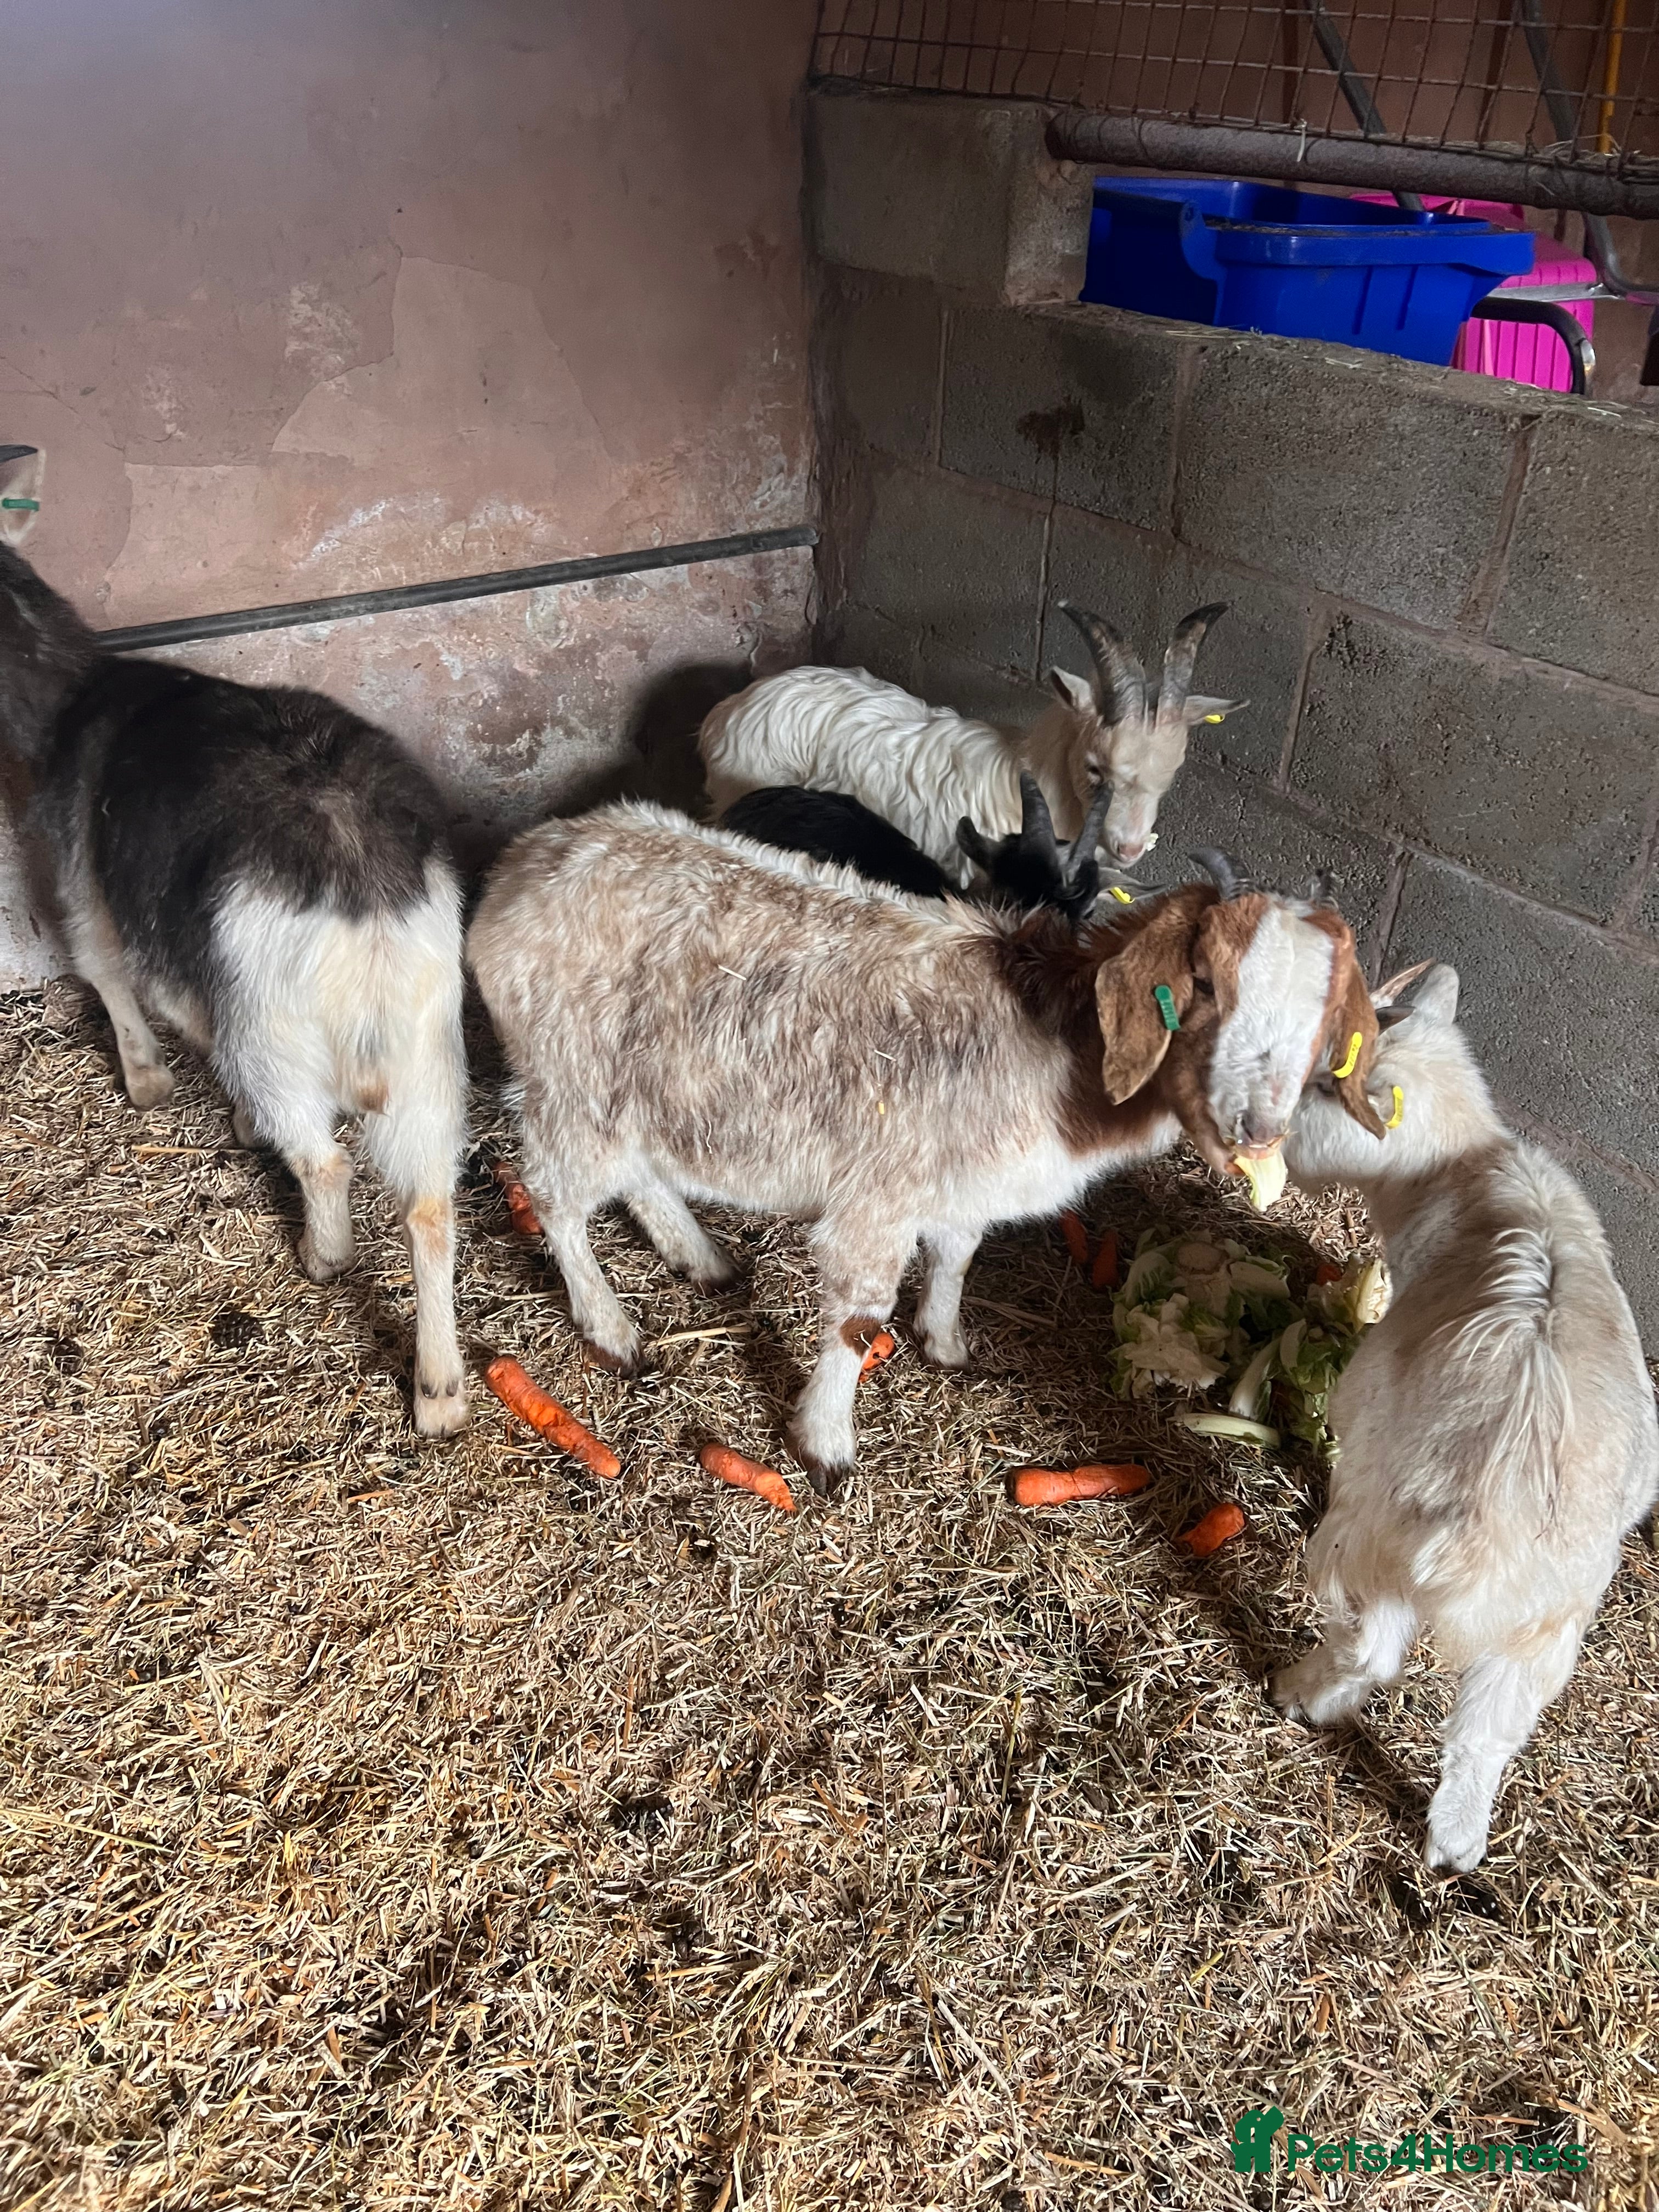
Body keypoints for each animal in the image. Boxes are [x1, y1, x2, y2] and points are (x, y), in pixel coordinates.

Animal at [0, 543, 470, 1437]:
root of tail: (361, 879)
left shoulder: (90, 885)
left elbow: (113, 976)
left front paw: (152, 1084)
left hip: (273, 1034)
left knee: (324, 1163)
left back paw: (325, 1256)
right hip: (428, 1047)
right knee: (429, 1208)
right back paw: (441, 1392)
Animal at [468, 807, 1382, 1487]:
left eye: (1325, 1020)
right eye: (1202, 985)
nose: (1258, 1129)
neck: (1059, 1050)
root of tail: (521, 864)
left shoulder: (961, 1179)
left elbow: (958, 1253)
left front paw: (944, 1340)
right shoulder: (882, 1190)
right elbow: (858, 1318)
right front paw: (826, 1445)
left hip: (642, 1090)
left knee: (640, 1172)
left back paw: (700, 1256)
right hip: (569, 1080)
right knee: (556, 1196)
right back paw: (610, 1328)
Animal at [1273, 962, 1659, 1871]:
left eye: (1320, 1082)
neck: (1459, 1164)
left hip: (1372, 1534)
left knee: (1369, 1646)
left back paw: (1302, 1694)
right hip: (1553, 1617)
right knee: (1489, 1732)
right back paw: (1456, 1843)